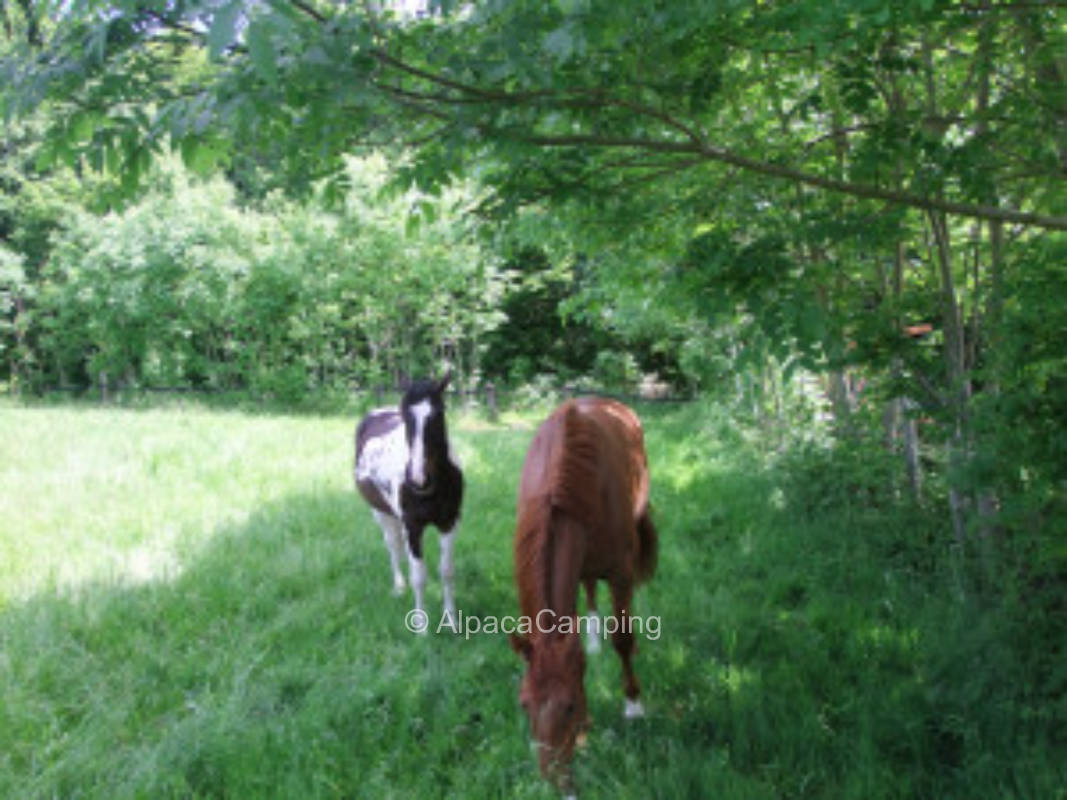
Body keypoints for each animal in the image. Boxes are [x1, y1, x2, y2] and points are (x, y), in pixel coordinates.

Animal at [353, 373, 463, 626]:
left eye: (439, 411)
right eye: (405, 415)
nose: (418, 479)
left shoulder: (449, 522)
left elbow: (448, 571)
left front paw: (451, 620)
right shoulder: (413, 526)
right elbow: (418, 577)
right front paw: (421, 626)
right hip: (381, 513)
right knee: (393, 546)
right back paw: (399, 586)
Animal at [509, 396, 658, 795]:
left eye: (570, 706)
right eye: (524, 705)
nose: (559, 784)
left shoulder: (621, 574)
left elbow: (623, 638)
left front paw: (634, 706)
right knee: (589, 592)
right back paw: (591, 639)